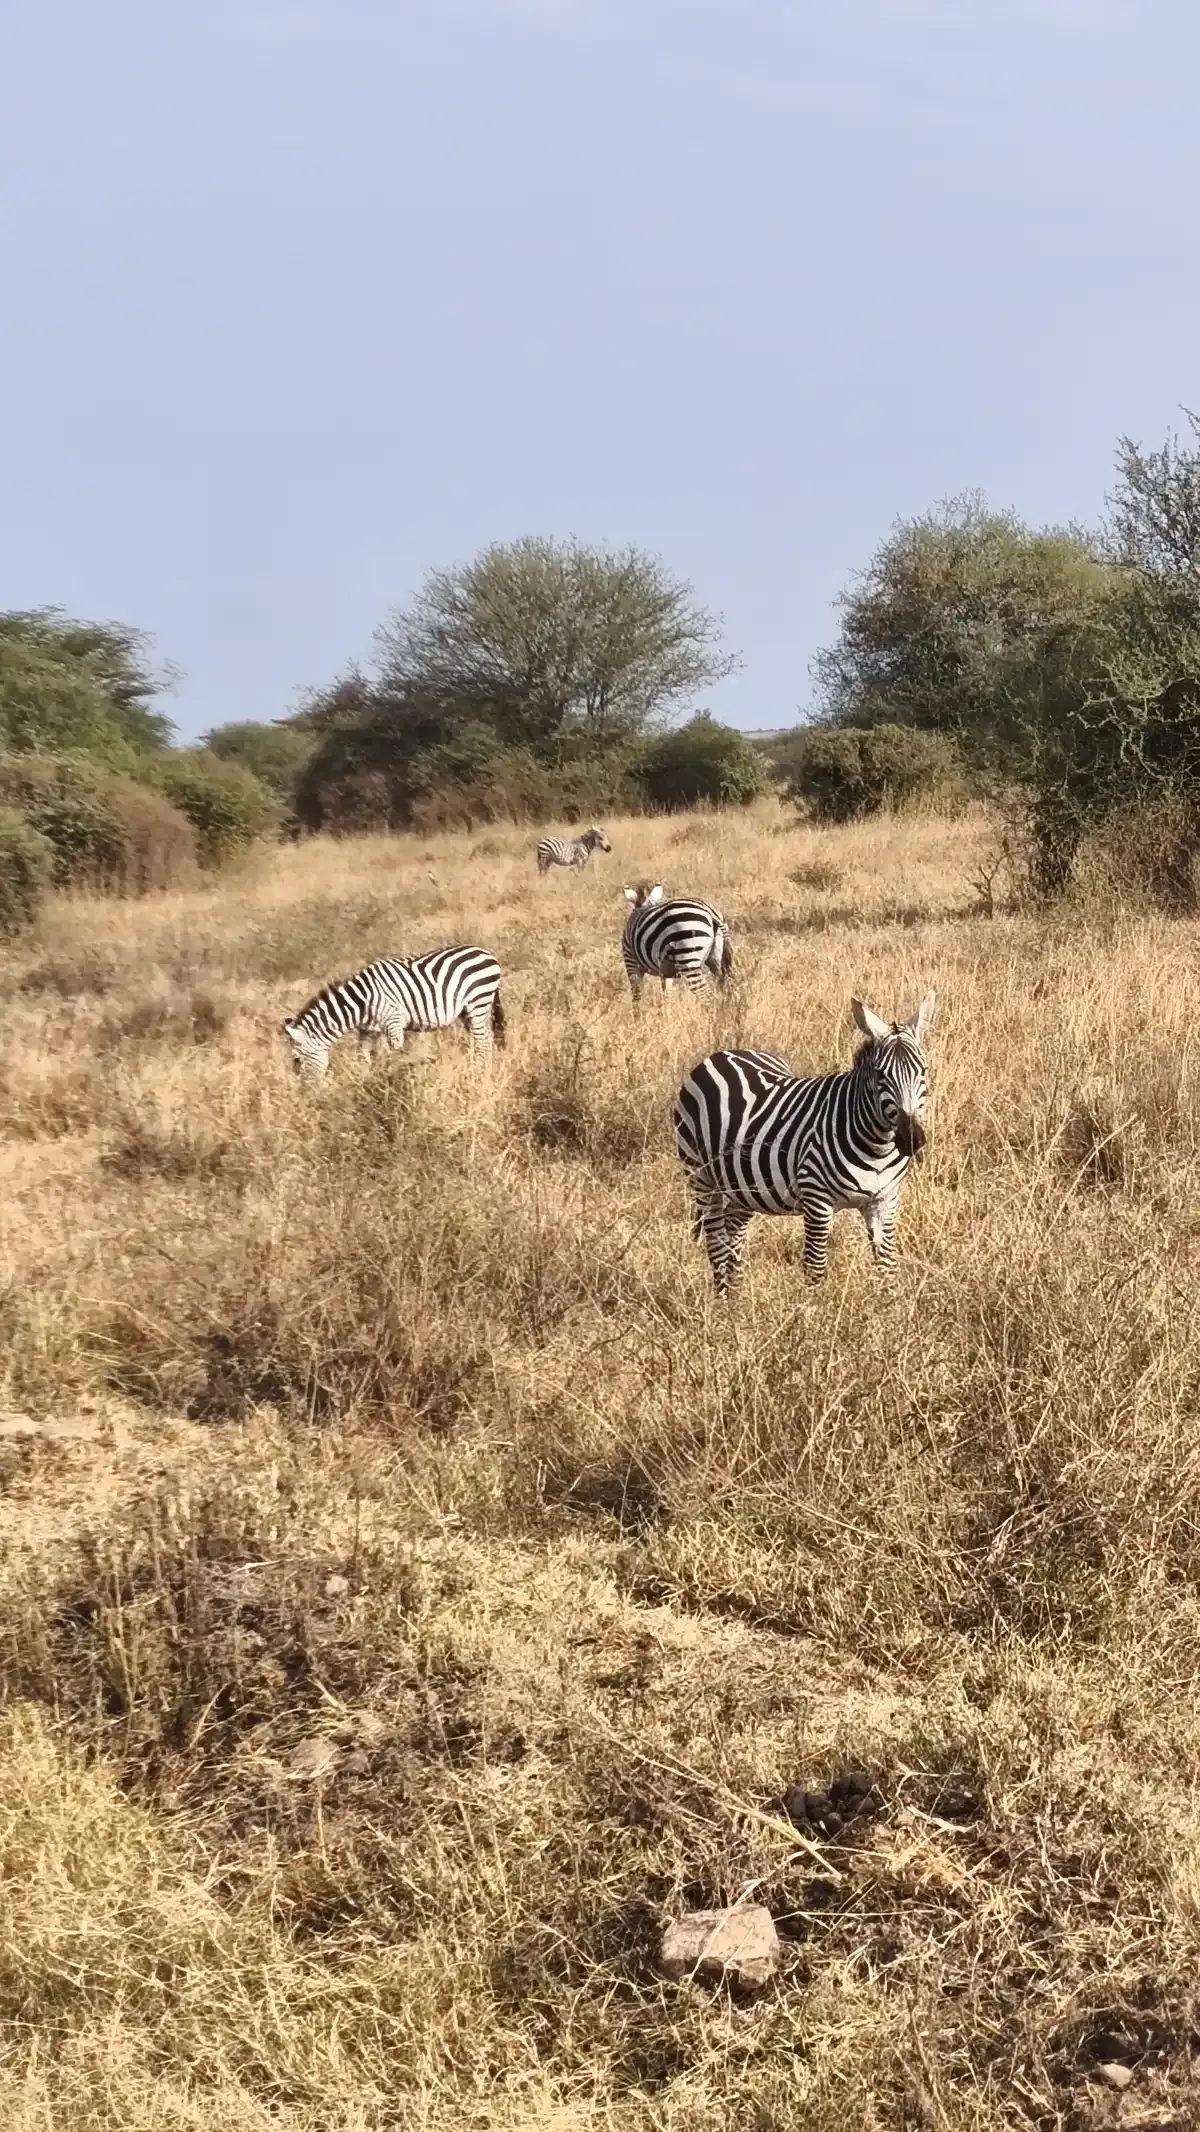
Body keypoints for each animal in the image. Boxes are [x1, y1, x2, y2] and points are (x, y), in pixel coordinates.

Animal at [282, 946, 505, 1077]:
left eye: (297, 1060)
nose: (305, 1093)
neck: (361, 1002)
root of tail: (486, 952)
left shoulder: (393, 1020)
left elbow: (392, 1052)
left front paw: (396, 1077)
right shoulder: (367, 1030)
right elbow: (364, 1058)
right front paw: (366, 1082)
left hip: (478, 1001)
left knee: (481, 1040)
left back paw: (478, 1072)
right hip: (468, 1010)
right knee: (486, 1036)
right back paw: (485, 1068)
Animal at [674, 993, 935, 1289]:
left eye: (923, 1071)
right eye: (881, 1075)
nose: (912, 1139)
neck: (878, 1147)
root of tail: (722, 1054)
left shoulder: (885, 1203)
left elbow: (887, 1268)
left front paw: (889, 1300)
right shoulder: (816, 1201)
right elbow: (815, 1270)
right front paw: (814, 1302)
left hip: (745, 1186)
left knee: (733, 1231)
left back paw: (736, 1292)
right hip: (701, 1176)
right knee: (716, 1240)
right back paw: (723, 1295)